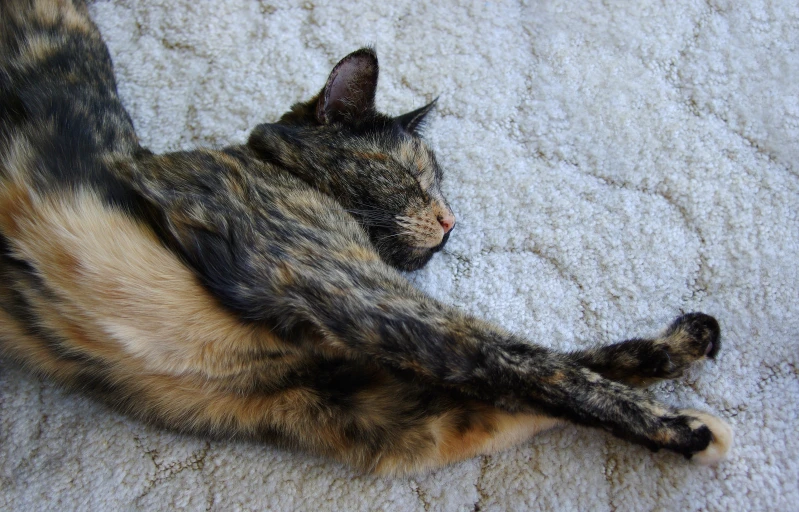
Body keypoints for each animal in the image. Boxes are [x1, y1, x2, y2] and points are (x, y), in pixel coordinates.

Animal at [0, 0, 732, 476]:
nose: (450, 222)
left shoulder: (375, 408)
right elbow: (529, 362)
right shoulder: (351, 293)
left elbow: (544, 376)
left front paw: (676, 357)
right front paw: (679, 423)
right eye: (412, 176)